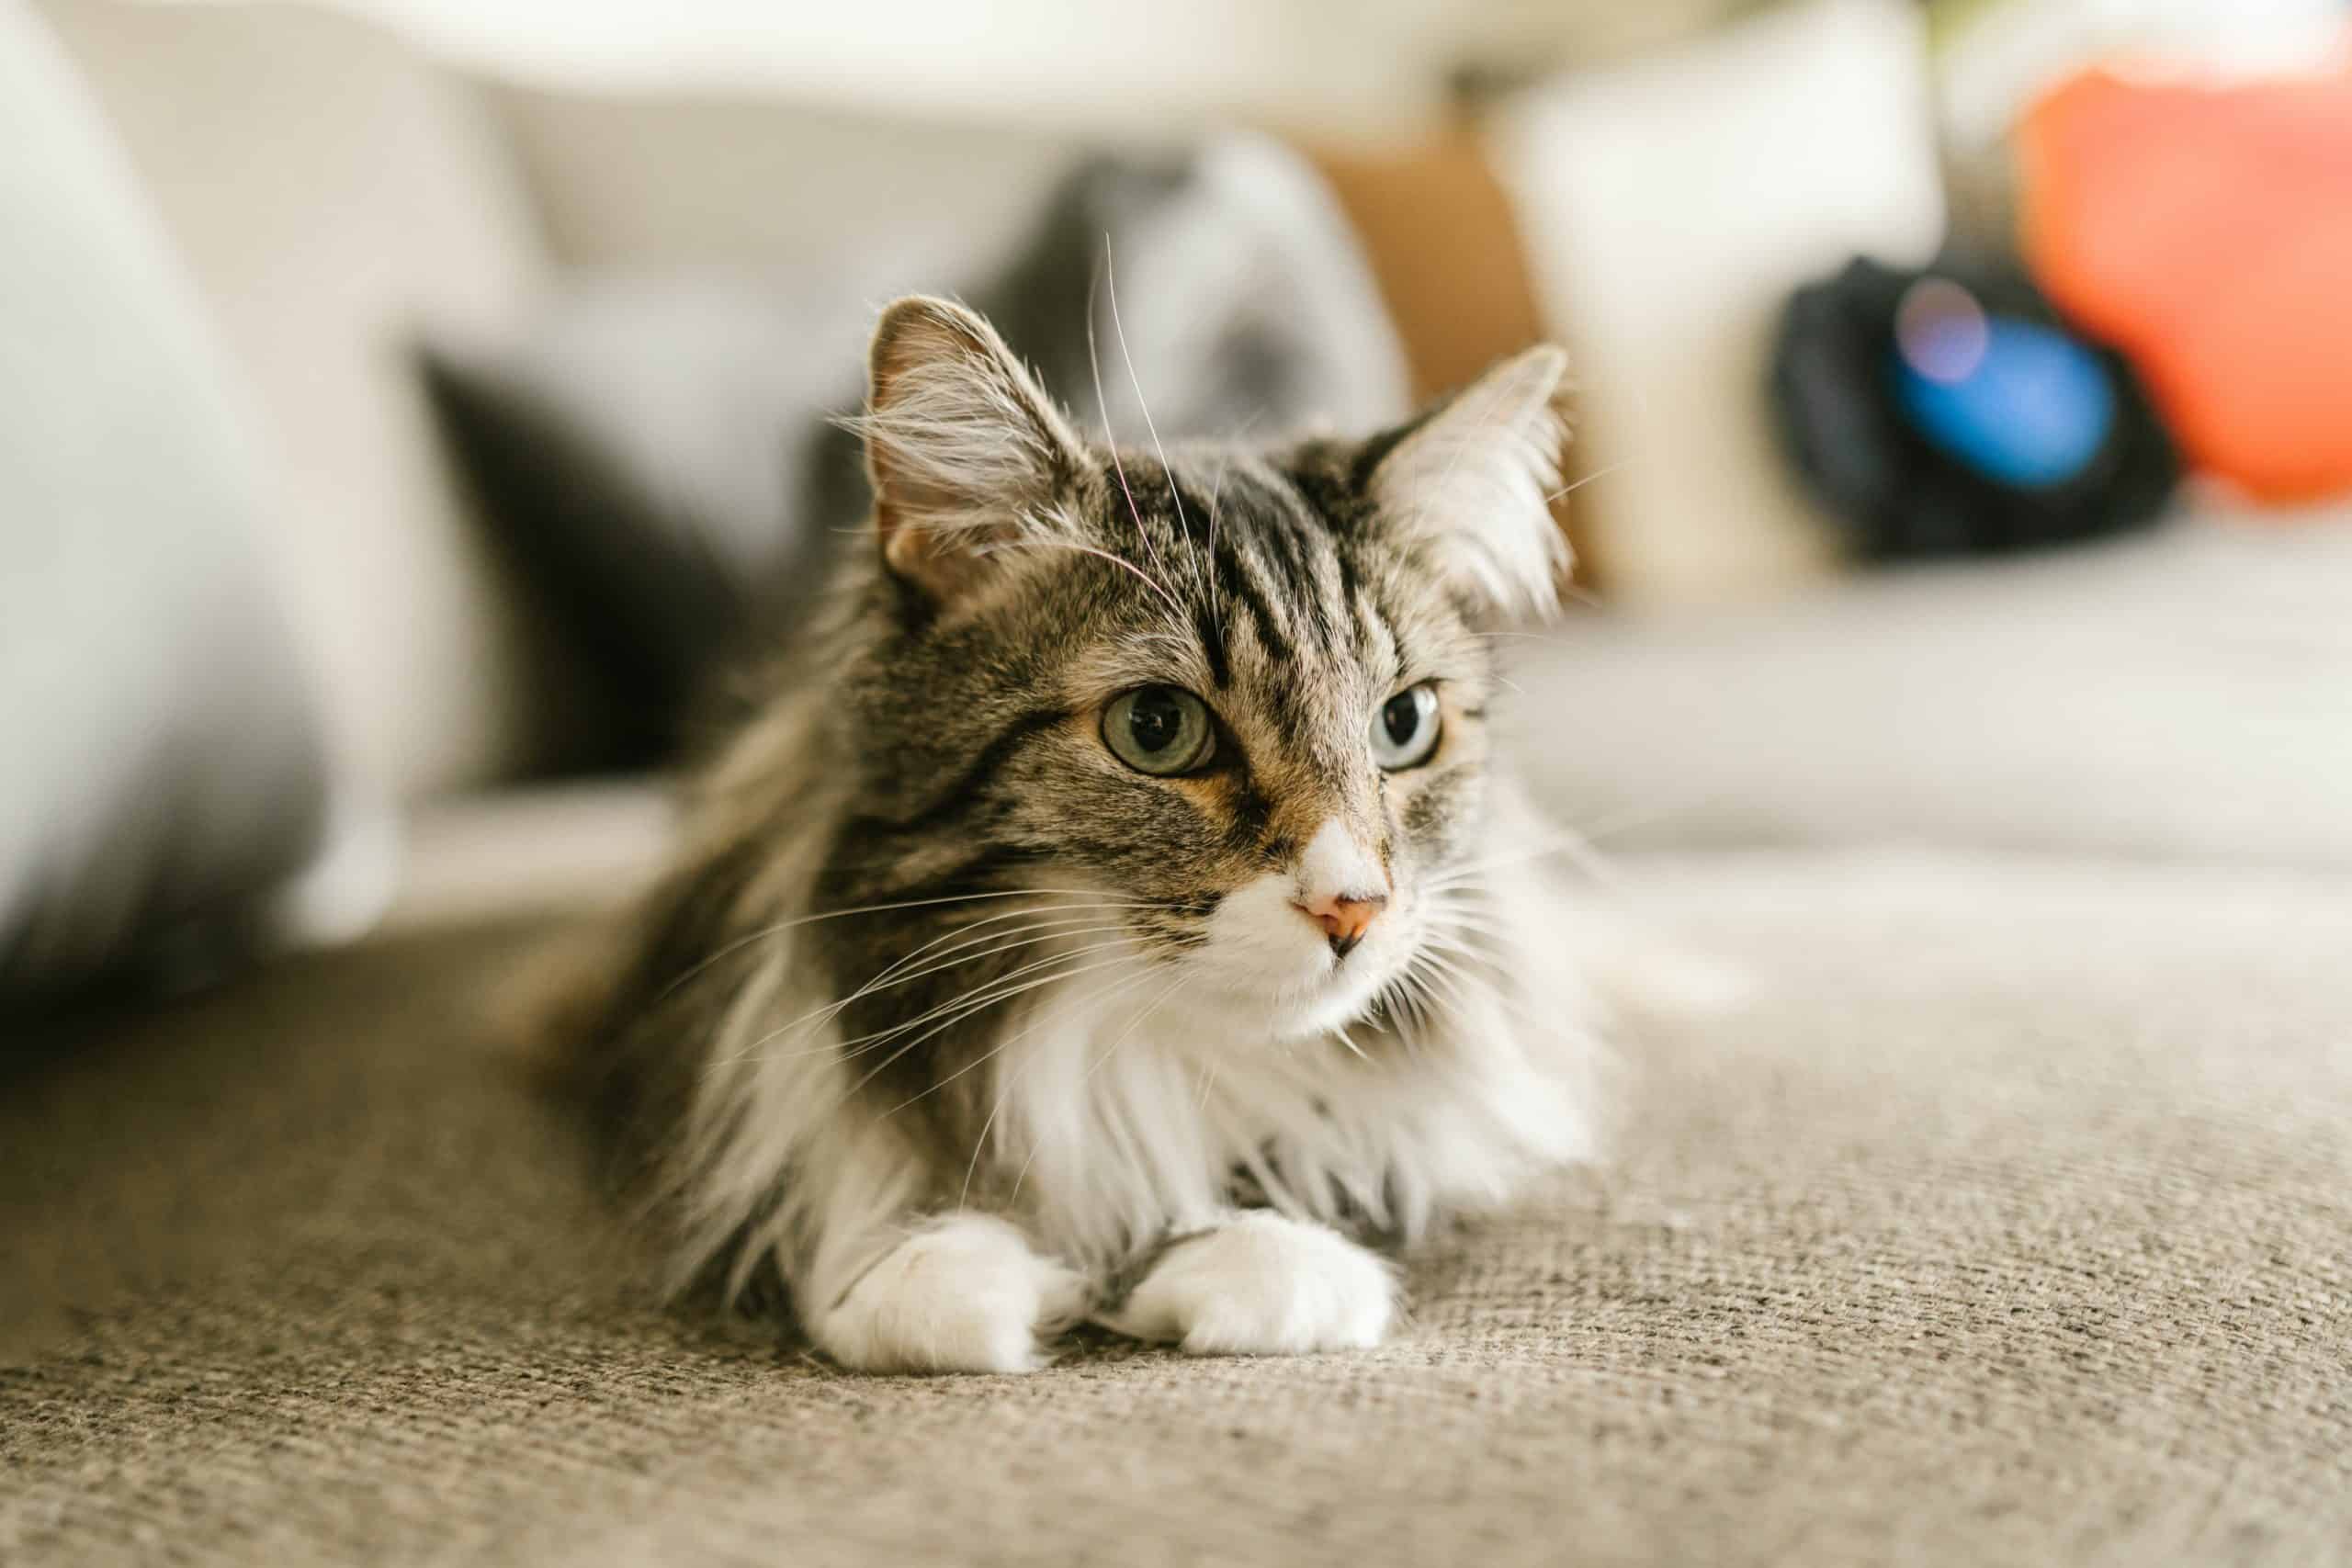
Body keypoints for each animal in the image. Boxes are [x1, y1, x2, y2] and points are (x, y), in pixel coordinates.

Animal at [578, 293, 1609, 1372]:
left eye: (1403, 725)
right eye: (1156, 727)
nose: (1352, 908)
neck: (1135, 1051)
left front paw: (1253, 1257)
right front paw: (932, 1267)